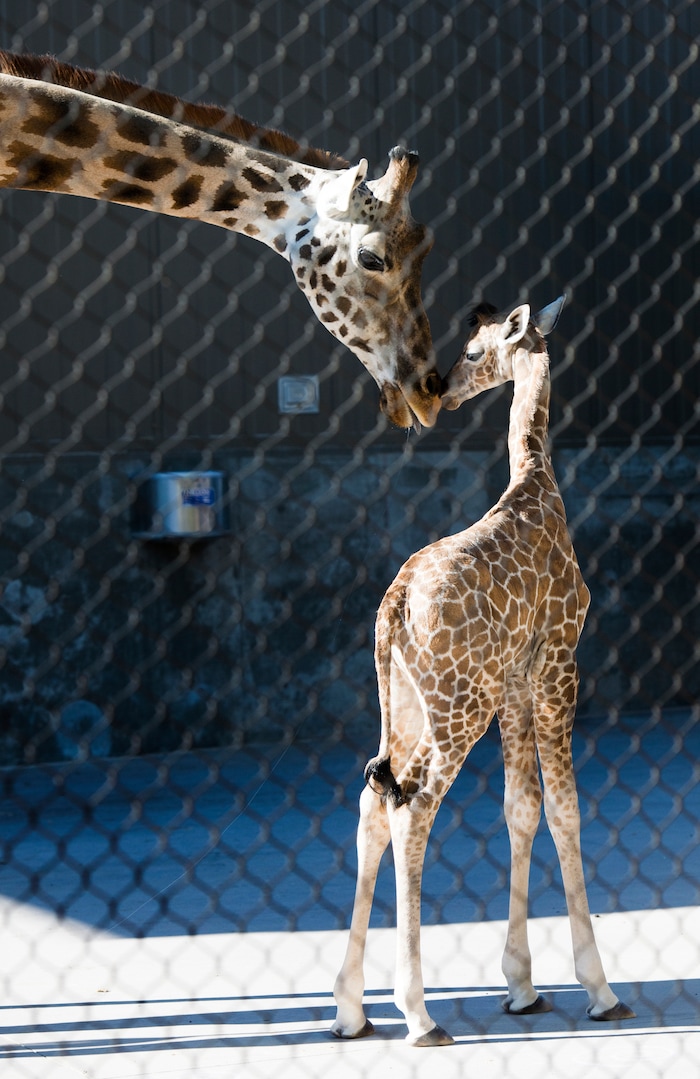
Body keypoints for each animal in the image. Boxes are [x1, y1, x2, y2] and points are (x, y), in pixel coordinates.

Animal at [331, 296, 635, 1045]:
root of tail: (393, 605)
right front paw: (598, 987)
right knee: (412, 807)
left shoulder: (516, 683)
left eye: (473, 352)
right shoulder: (558, 659)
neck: (535, 483)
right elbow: (565, 808)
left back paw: (351, 1008)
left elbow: (519, 806)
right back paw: (417, 1012)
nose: (442, 389)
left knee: (373, 799)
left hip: (413, 706)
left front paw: (522, 985)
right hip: (456, 708)